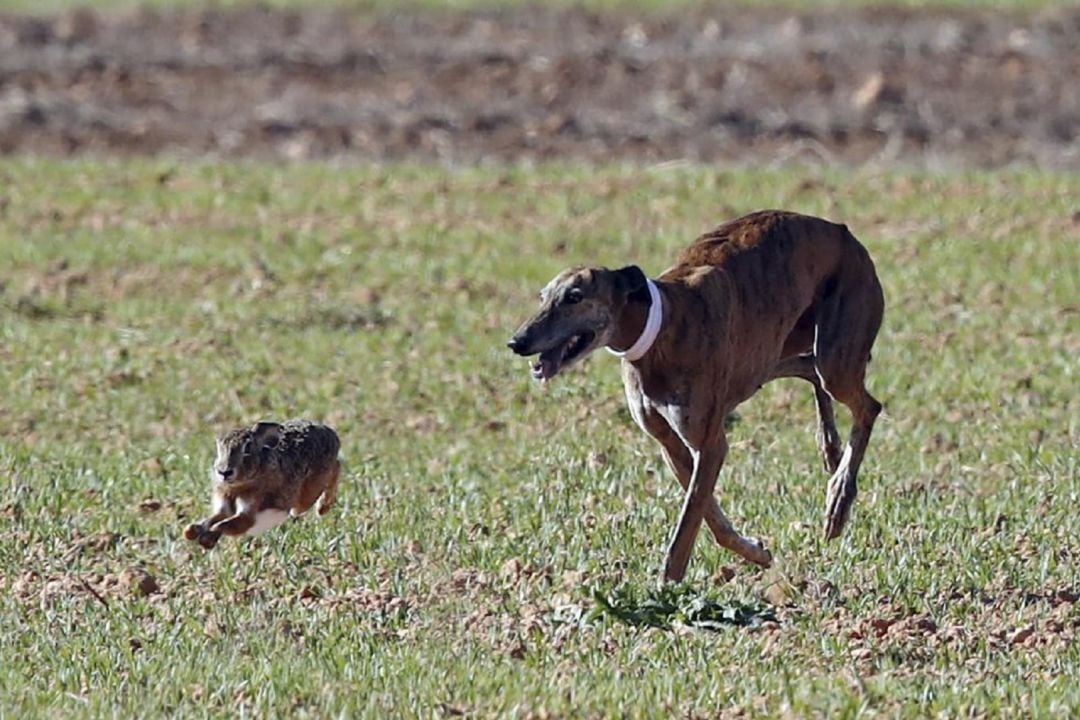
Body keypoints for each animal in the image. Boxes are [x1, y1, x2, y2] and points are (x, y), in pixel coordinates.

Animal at [509, 209, 881, 587]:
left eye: (574, 296)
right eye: (542, 297)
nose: (517, 342)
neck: (660, 326)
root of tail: (842, 232)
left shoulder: (709, 443)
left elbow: (686, 527)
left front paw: (666, 590)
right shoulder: (670, 444)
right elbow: (710, 517)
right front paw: (756, 552)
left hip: (835, 355)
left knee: (868, 405)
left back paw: (839, 497)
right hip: (778, 355)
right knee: (811, 371)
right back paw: (830, 450)